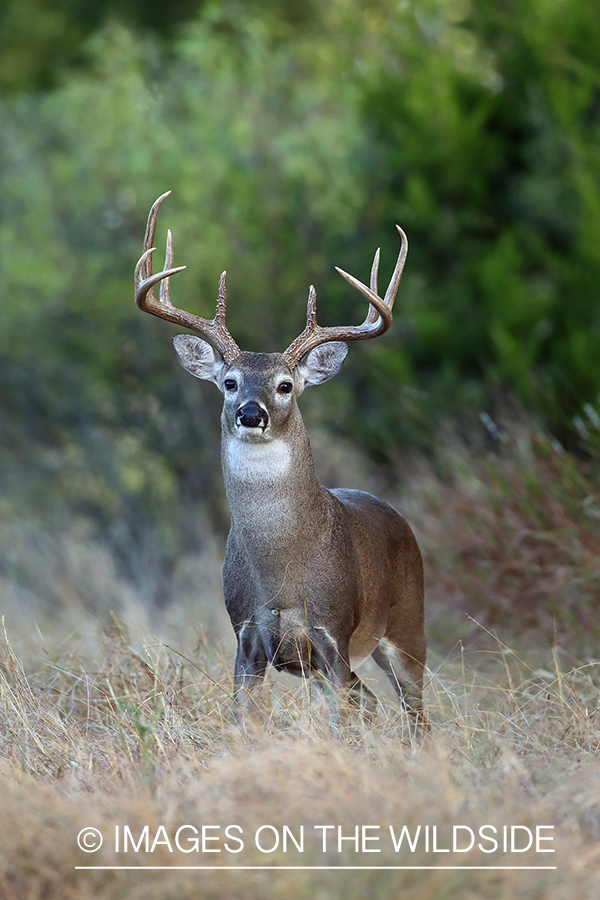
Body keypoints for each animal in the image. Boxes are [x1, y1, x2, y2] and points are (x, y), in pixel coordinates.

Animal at [136, 193, 426, 728]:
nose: (252, 413)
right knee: (372, 701)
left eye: (286, 385)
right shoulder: (246, 638)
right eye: (229, 382)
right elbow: (242, 720)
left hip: (407, 625)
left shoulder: (332, 634)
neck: (282, 576)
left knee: (414, 711)